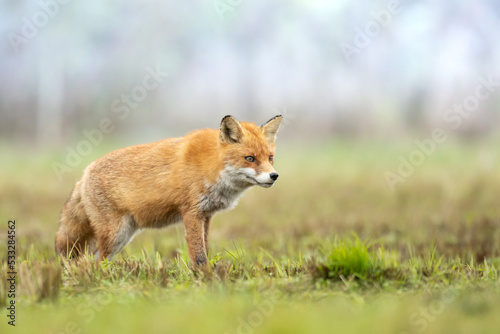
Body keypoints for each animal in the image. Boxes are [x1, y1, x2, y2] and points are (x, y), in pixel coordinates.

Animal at [55, 115, 282, 266]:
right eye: (250, 158)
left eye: (270, 158)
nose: (274, 176)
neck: (210, 165)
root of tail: (85, 173)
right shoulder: (191, 212)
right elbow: (199, 255)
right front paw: (205, 279)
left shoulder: (206, 215)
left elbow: (206, 249)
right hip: (115, 234)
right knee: (96, 262)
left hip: (123, 236)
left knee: (93, 262)